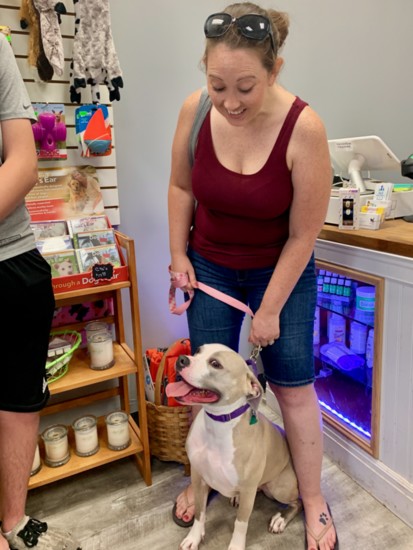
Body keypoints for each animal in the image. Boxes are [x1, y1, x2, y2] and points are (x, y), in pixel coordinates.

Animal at [166, 344, 300, 550]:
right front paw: (194, 537)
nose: (182, 359)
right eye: (197, 351)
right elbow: (199, 512)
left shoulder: (248, 490)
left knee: (297, 502)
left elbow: (240, 523)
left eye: (215, 364)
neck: (218, 423)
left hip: (279, 487)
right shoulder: (198, 477)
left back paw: (280, 519)